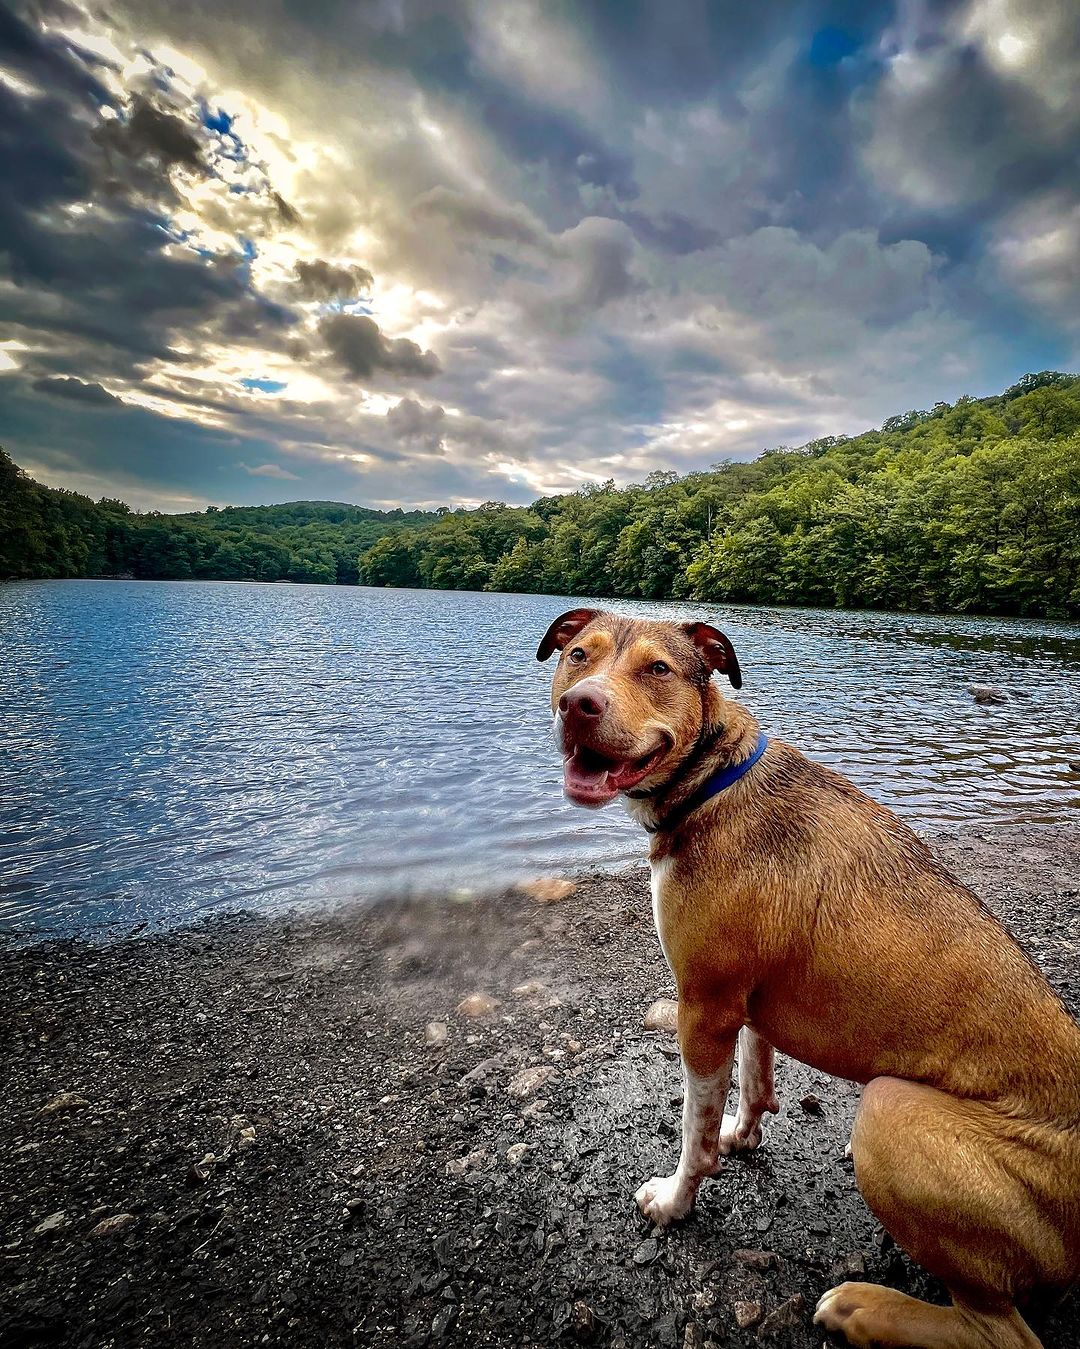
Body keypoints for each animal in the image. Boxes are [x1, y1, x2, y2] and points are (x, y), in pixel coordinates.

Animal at [536, 609, 1078, 1349]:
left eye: (658, 669)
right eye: (578, 655)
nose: (579, 703)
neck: (713, 779)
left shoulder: (702, 1007)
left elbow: (692, 1131)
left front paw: (676, 1201)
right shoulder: (743, 1005)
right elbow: (754, 1077)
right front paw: (741, 1135)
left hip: (889, 1112)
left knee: (1000, 1333)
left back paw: (861, 1307)